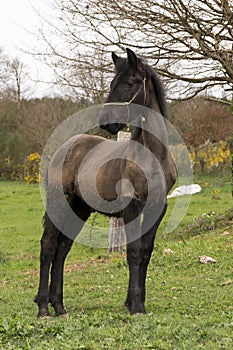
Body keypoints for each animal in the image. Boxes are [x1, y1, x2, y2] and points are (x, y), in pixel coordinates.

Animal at [34, 47, 177, 318]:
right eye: (112, 83)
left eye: (129, 83)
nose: (106, 122)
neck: (152, 156)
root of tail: (63, 149)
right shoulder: (132, 207)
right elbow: (133, 252)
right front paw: (136, 306)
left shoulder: (158, 208)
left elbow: (146, 251)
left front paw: (136, 302)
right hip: (59, 203)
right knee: (48, 246)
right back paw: (44, 308)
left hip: (79, 209)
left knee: (62, 250)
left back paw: (60, 306)